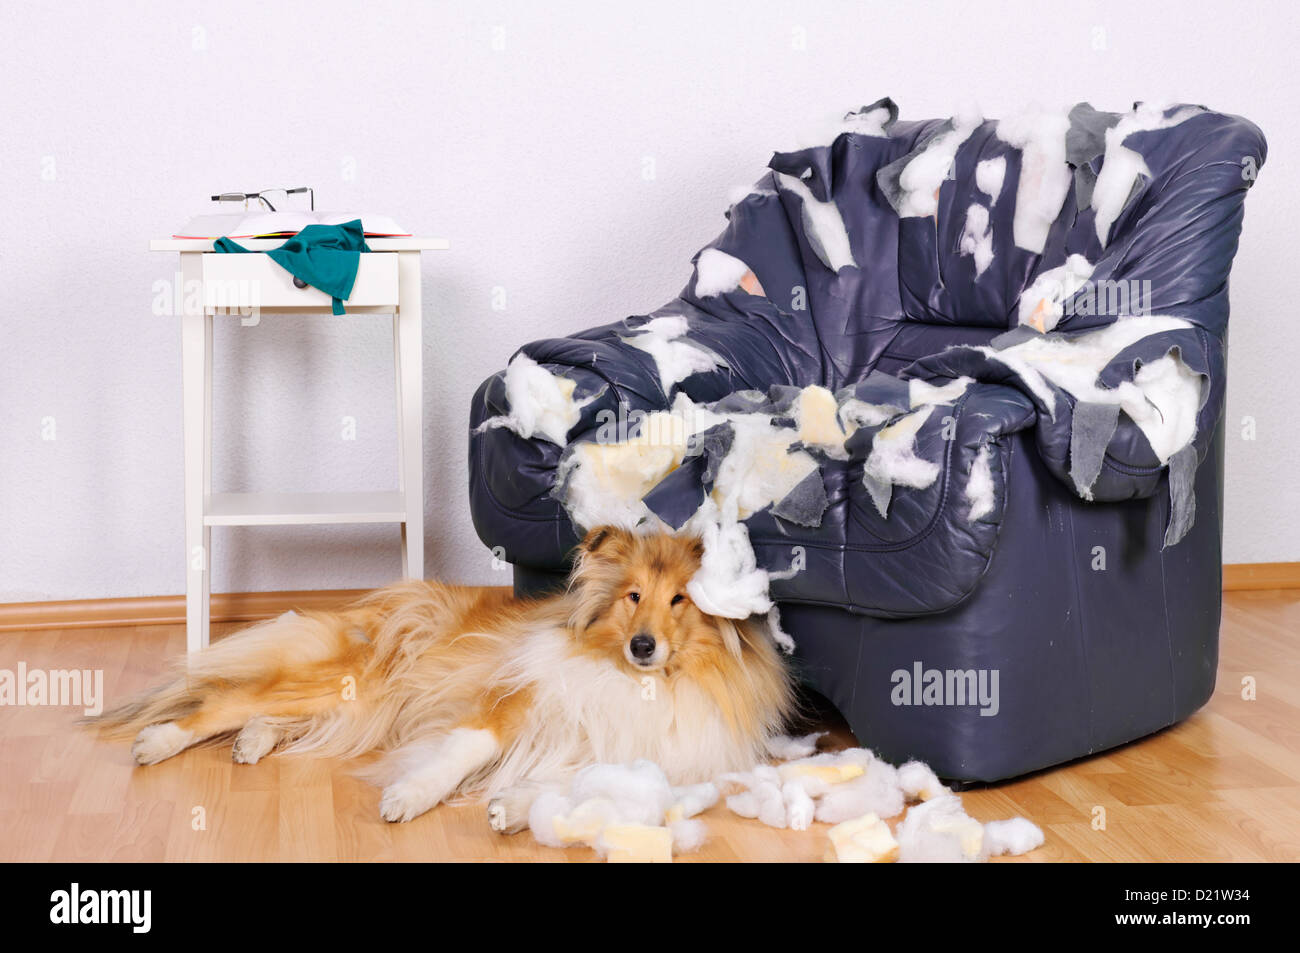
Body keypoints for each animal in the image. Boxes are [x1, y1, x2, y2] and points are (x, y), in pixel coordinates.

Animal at [94, 525, 790, 826]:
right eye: (633, 596)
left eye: (680, 601)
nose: (643, 646)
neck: (644, 683)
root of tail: (383, 601)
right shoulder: (511, 700)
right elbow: (462, 752)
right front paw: (408, 797)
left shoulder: (648, 753)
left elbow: (590, 784)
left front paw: (515, 807)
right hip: (356, 681)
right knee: (230, 698)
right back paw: (159, 741)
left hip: (364, 707)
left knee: (276, 714)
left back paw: (254, 741)